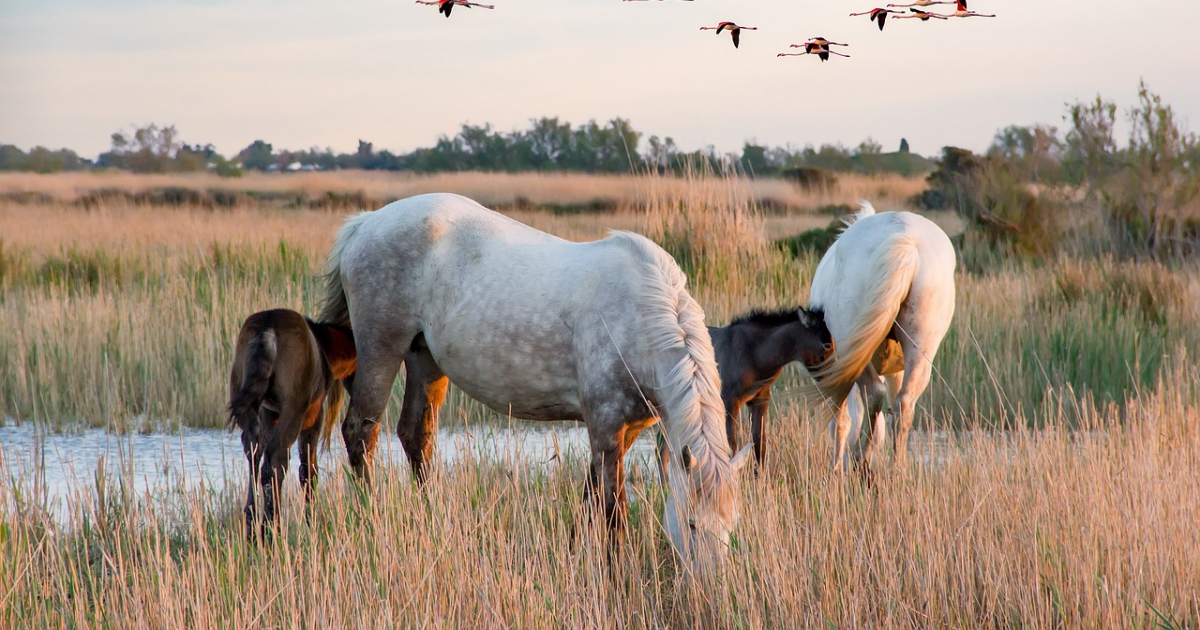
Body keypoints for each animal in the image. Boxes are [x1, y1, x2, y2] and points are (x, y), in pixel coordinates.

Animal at [225, 307, 352, 537]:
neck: (325, 348)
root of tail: (267, 330)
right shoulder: (313, 414)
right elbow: (308, 469)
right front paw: (313, 522)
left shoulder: (269, 413)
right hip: (294, 406)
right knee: (277, 457)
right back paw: (270, 527)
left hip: (245, 399)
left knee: (254, 450)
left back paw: (252, 525)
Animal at [319, 193, 748, 564]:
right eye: (692, 524)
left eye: (731, 527)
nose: (709, 591)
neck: (640, 316)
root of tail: (364, 223)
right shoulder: (606, 426)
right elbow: (613, 509)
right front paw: (616, 570)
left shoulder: (625, 430)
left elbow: (591, 493)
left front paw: (574, 553)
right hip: (381, 349)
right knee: (361, 433)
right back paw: (372, 516)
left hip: (424, 359)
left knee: (416, 436)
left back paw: (432, 518)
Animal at [705, 304, 830, 465]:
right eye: (826, 345)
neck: (753, 354)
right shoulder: (729, 401)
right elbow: (730, 444)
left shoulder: (760, 399)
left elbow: (759, 443)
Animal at [806, 201, 955, 470]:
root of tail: (906, 239)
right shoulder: (895, 370)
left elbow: (840, 422)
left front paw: (835, 468)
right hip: (921, 349)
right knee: (904, 403)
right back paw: (897, 468)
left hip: (851, 347)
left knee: (874, 393)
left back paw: (861, 458)